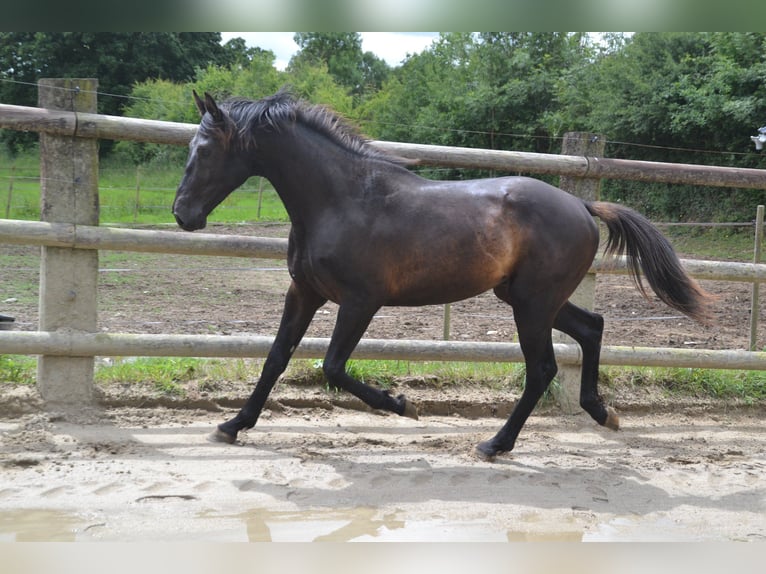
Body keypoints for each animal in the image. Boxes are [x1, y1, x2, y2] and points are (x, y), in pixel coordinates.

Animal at [174, 90, 712, 464]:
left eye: (205, 149)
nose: (182, 215)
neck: (343, 199)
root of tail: (582, 206)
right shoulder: (304, 292)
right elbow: (276, 358)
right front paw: (232, 425)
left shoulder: (361, 301)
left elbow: (332, 367)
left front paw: (402, 404)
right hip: (529, 298)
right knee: (592, 328)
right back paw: (602, 412)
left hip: (532, 305)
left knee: (542, 368)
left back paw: (495, 444)